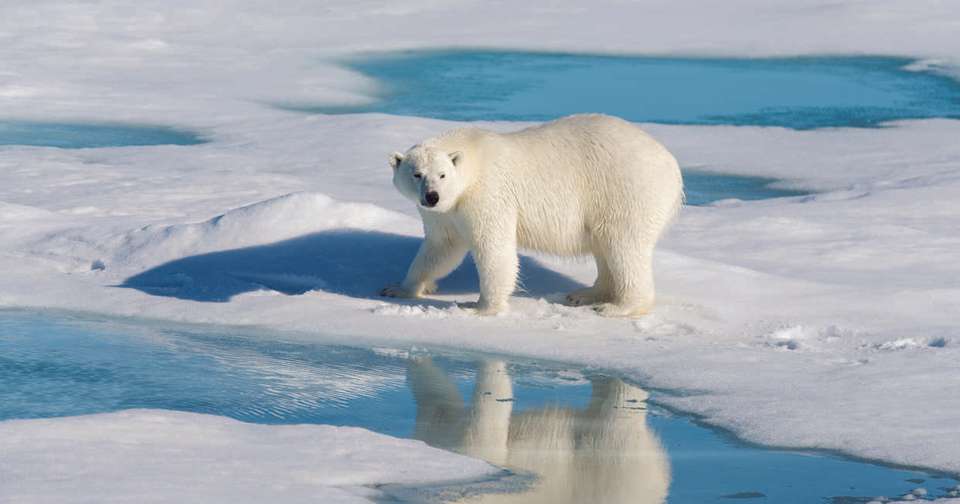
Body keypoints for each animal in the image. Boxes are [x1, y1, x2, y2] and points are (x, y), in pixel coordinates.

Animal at [381, 114, 683, 317]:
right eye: (417, 174)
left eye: (442, 174)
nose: (432, 196)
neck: (473, 156)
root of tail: (672, 166)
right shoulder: (447, 212)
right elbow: (441, 248)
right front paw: (399, 288)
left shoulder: (486, 193)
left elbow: (494, 249)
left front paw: (479, 307)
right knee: (604, 248)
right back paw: (584, 294)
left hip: (625, 191)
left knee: (623, 246)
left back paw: (616, 307)